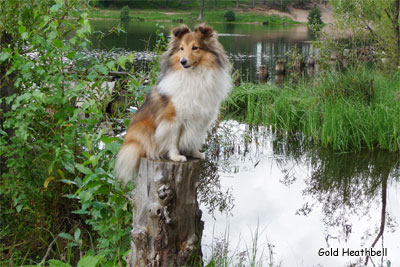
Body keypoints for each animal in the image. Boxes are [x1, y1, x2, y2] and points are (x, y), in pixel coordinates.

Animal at [114, 24, 233, 184]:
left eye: (195, 47)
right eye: (181, 48)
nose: (183, 61)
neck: (194, 75)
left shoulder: (200, 120)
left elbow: (194, 137)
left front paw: (195, 153)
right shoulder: (173, 119)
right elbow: (172, 140)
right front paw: (176, 156)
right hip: (142, 130)